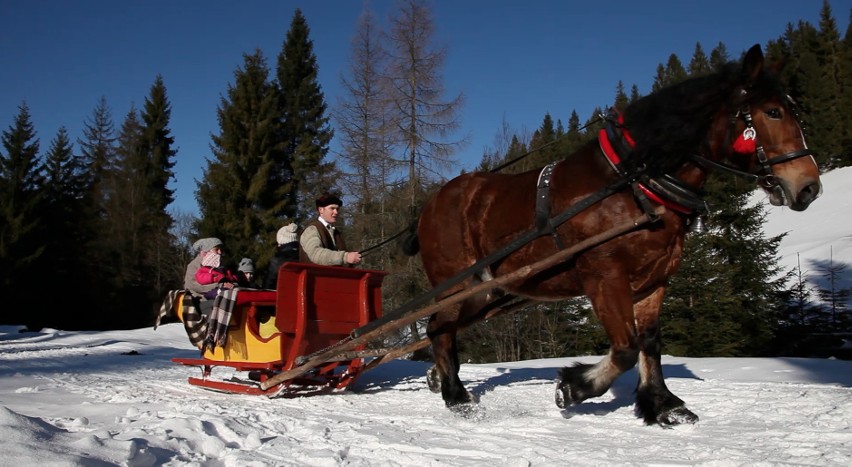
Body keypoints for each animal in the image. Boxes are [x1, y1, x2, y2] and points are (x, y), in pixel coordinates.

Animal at [402, 44, 824, 428]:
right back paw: (458, 398)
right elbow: (625, 348)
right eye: (772, 112)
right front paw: (573, 387)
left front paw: (663, 405)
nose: (808, 187)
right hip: (456, 283)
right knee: (439, 328)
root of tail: (431, 204)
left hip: (483, 289)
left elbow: (650, 343)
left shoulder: (654, 280)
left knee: (438, 327)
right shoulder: (605, 278)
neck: (634, 184)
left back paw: (440, 378)